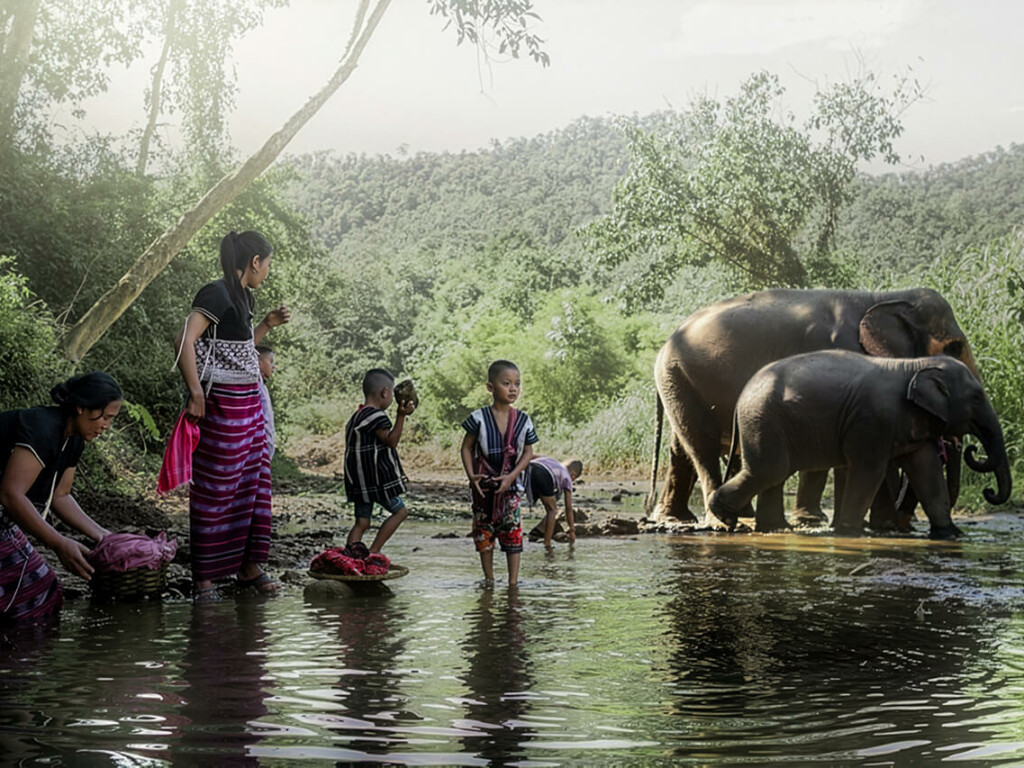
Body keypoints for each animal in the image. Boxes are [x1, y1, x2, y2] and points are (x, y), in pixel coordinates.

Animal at [649, 288, 980, 524]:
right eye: (954, 346)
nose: (905, 520)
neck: (882, 297)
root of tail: (666, 342)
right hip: (678, 379)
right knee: (702, 448)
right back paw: (723, 521)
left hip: (679, 384)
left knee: (681, 449)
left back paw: (680, 518)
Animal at [706, 351, 1011, 538]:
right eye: (976, 398)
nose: (989, 491)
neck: (915, 364)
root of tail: (741, 396)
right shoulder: (872, 420)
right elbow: (869, 470)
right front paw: (851, 532)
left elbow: (926, 471)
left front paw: (951, 534)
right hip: (763, 420)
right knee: (770, 471)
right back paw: (725, 517)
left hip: (769, 422)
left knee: (774, 474)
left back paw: (773, 527)